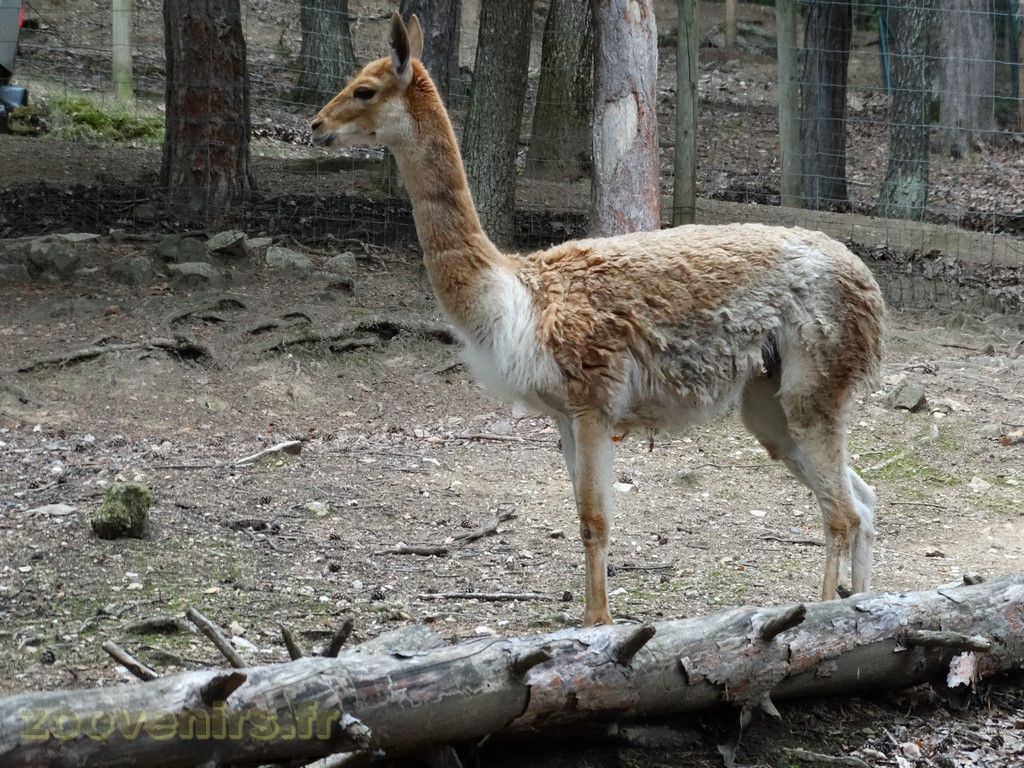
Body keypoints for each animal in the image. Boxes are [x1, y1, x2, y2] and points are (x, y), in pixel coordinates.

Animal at [311, 13, 886, 627]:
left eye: (364, 90)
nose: (316, 125)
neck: (516, 296)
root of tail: (866, 279)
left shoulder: (593, 400)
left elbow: (594, 521)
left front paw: (600, 626)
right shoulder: (563, 414)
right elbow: (582, 520)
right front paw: (589, 621)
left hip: (814, 377)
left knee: (842, 512)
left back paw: (828, 615)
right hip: (769, 400)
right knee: (863, 499)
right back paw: (867, 603)